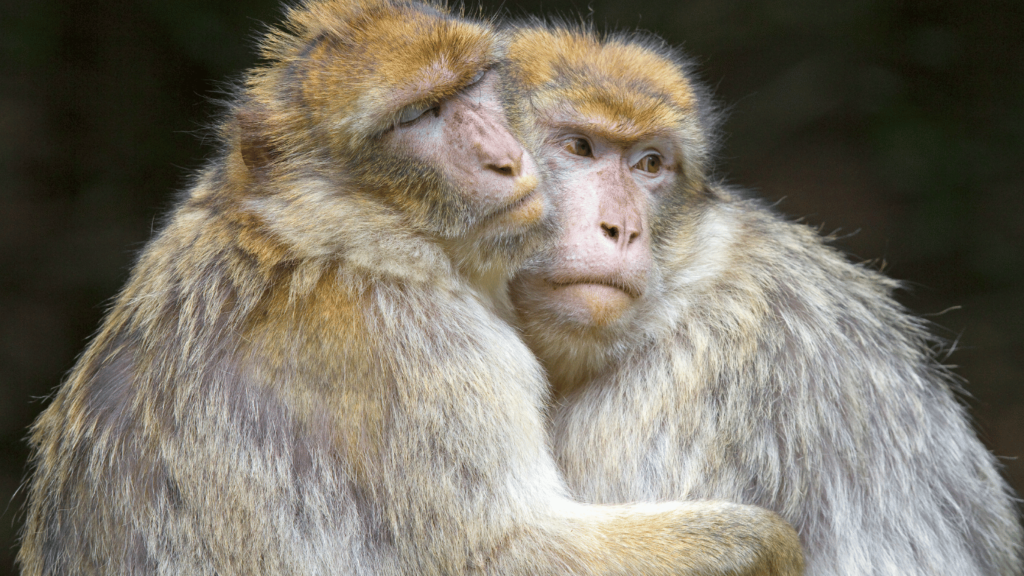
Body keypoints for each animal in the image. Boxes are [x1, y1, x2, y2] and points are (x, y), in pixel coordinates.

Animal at [12, 2, 802, 569]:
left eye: (475, 85)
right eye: (419, 116)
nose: (502, 158)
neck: (340, 231)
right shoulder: (417, 349)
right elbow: (506, 553)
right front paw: (768, 547)